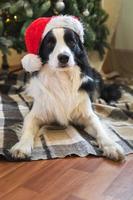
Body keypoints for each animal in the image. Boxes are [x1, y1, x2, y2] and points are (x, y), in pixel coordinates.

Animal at [10, 15, 124, 160]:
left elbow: (100, 128)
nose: (64, 57)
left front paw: (111, 146)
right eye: (50, 43)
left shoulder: (88, 114)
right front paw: (21, 146)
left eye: (72, 42)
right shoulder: (35, 113)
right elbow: (28, 128)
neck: (62, 77)